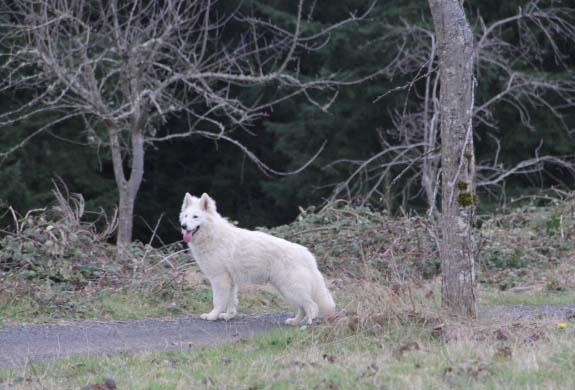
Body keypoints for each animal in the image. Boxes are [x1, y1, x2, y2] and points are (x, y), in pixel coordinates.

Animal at [178, 193, 336, 326]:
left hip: (291, 289)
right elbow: (231, 302)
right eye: (185, 216)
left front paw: (212, 316)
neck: (212, 235)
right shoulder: (230, 282)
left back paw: (307, 323)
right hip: (286, 290)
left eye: (195, 217)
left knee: (312, 306)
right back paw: (295, 321)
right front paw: (228, 316)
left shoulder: (219, 279)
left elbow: (217, 301)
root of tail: (307, 254)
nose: (183, 226)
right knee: (302, 307)